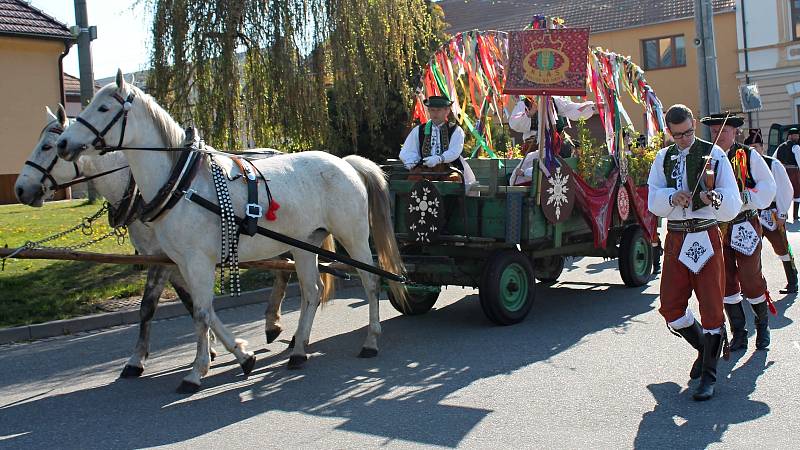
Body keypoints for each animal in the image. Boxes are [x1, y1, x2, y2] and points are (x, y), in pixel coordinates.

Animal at [14, 105, 306, 380]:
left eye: (48, 146)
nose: (20, 189)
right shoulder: (173, 259)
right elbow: (192, 304)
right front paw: (214, 348)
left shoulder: (164, 260)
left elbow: (147, 307)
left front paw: (137, 360)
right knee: (286, 270)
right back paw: (276, 327)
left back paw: (286, 332)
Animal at [56, 68, 406, 392]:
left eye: (103, 108)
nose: (63, 143)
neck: (182, 184)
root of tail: (345, 163)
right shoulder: (181, 261)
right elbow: (203, 311)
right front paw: (240, 356)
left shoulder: (197, 261)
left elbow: (200, 312)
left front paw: (198, 372)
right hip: (305, 243)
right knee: (312, 291)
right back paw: (298, 351)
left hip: (354, 237)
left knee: (371, 282)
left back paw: (370, 341)